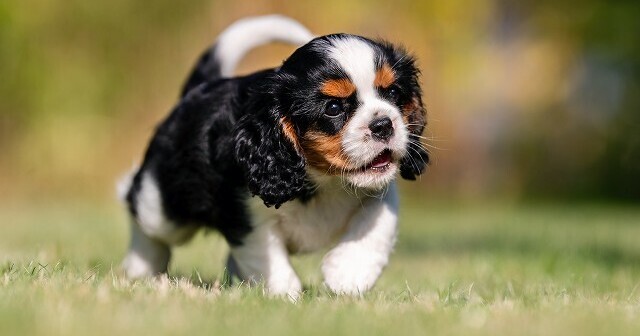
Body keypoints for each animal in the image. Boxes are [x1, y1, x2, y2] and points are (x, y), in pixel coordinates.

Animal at [120, 15, 430, 300]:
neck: (323, 178)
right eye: (333, 108)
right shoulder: (246, 214)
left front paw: (349, 272)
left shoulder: (381, 190)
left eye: (393, 93)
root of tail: (198, 90)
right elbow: (266, 256)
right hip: (163, 203)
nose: (383, 125)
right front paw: (285, 296)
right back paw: (140, 269)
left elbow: (378, 223)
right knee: (141, 211)